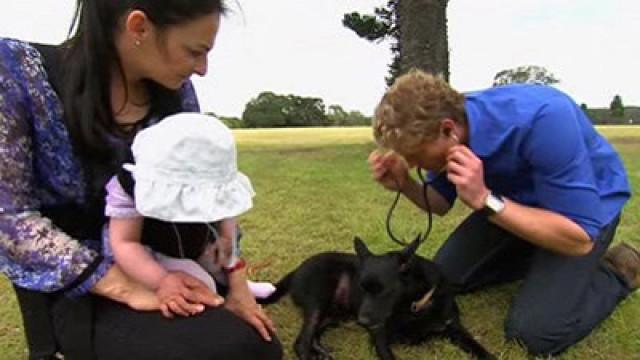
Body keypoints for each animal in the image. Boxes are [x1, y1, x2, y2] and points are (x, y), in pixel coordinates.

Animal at [260, 236, 496, 360]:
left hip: (337, 313)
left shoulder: (455, 329)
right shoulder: (380, 335)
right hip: (320, 298)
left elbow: (482, 352)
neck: (414, 305)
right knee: (301, 342)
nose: (362, 322)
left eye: (384, 290)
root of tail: (297, 269)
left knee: (313, 335)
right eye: (362, 288)